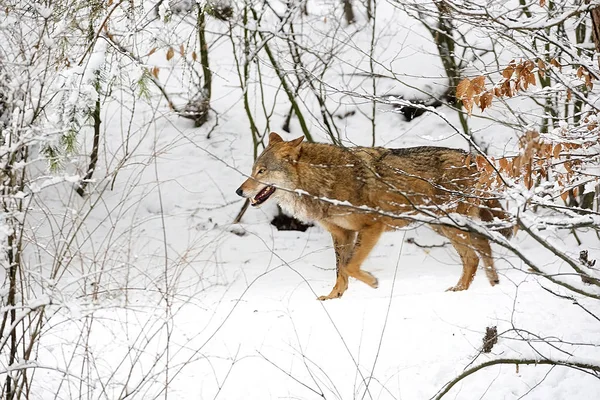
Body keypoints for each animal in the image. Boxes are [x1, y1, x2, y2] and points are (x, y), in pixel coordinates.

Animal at [237, 133, 508, 298]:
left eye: (262, 171)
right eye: (252, 170)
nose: (239, 191)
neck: (324, 180)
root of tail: (473, 157)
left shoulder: (371, 227)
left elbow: (350, 265)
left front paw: (372, 282)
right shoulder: (342, 234)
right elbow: (341, 270)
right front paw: (334, 297)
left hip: (449, 225)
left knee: (475, 253)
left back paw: (467, 289)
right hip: (442, 225)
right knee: (479, 250)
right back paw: (482, 285)